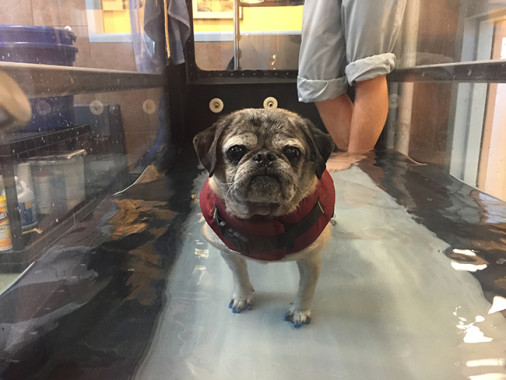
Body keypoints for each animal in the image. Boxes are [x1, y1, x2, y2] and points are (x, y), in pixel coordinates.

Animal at [195, 107, 336, 326]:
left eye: (292, 152)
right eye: (235, 151)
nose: (264, 156)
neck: (262, 215)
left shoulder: (310, 261)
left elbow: (306, 289)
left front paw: (299, 311)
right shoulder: (229, 254)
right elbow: (239, 277)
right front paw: (243, 296)